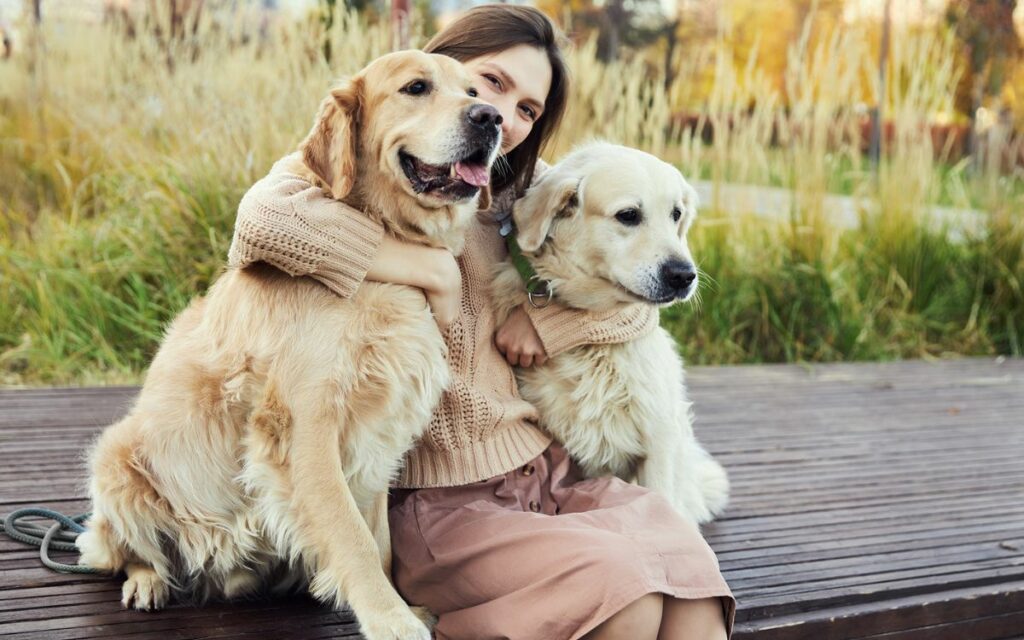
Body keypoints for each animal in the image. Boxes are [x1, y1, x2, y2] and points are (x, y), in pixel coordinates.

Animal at [75, 51, 499, 638]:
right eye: (416, 87)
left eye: (475, 90)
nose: (491, 118)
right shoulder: (306, 428)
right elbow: (353, 538)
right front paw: (390, 620)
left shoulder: (379, 431)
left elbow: (380, 541)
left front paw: (402, 607)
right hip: (114, 458)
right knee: (123, 551)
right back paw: (148, 582)